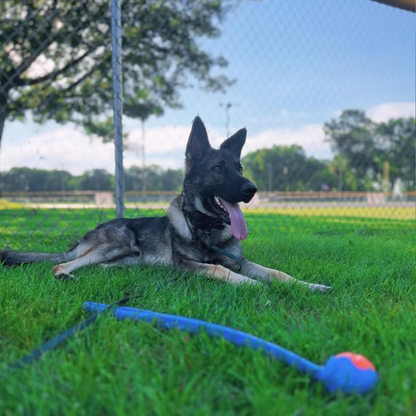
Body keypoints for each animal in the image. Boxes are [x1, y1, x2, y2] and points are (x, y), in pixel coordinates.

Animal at [0, 117, 332, 292]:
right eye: (218, 168)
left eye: (239, 168)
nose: (251, 189)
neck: (206, 229)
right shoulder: (189, 265)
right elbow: (222, 271)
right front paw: (255, 286)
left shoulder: (242, 261)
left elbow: (278, 273)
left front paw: (309, 286)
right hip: (117, 243)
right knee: (62, 263)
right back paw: (65, 273)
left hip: (125, 256)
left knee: (102, 265)